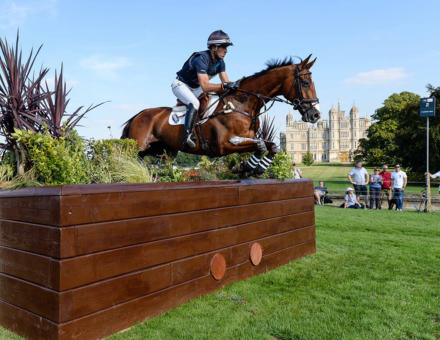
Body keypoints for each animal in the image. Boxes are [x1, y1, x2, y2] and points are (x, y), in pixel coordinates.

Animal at [120, 54, 320, 175]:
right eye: (305, 82)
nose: (315, 115)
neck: (242, 104)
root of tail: (137, 116)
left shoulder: (248, 138)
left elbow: (270, 146)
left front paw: (253, 168)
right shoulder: (224, 145)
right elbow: (261, 145)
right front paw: (246, 166)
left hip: (162, 150)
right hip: (138, 147)